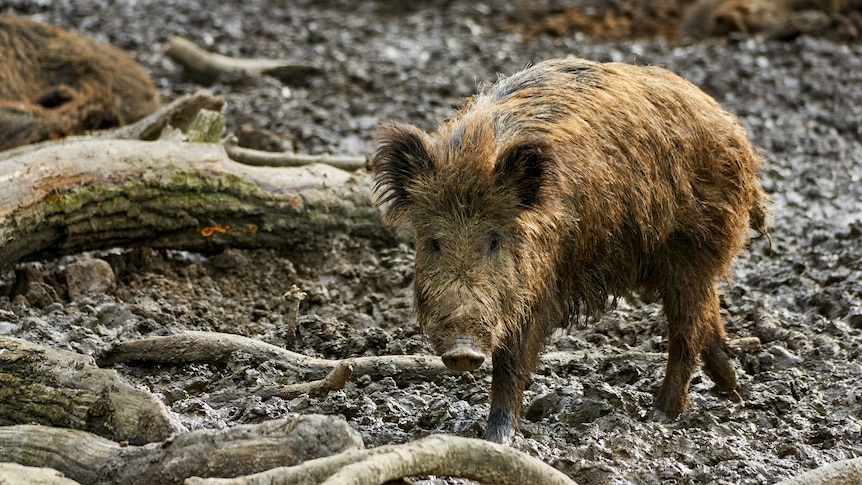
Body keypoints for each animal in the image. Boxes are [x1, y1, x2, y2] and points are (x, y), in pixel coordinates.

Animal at [370, 56, 768, 442]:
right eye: (434, 242)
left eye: (494, 240)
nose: (462, 351)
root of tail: (731, 127)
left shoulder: (542, 283)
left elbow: (513, 360)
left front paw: (496, 440)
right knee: (707, 313)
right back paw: (731, 388)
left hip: (693, 245)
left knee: (686, 330)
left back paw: (660, 415)